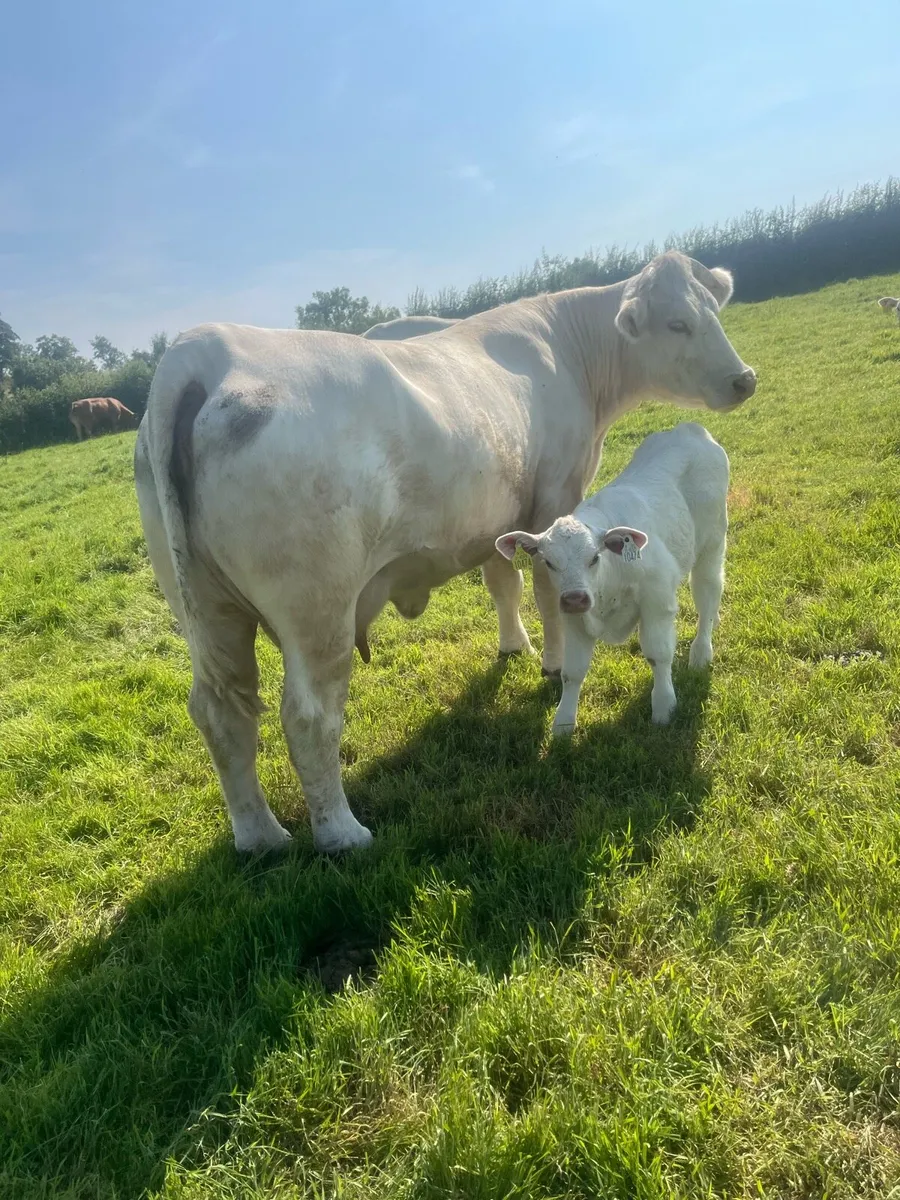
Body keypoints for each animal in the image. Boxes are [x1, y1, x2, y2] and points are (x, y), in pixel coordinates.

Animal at [134, 250, 756, 855]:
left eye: (714, 310)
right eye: (677, 323)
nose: (744, 379)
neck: (565, 348)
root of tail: (203, 349)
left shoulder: (495, 519)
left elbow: (504, 582)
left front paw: (514, 646)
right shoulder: (555, 495)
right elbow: (546, 591)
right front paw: (554, 665)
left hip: (207, 611)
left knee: (220, 712)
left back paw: (260, 837)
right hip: (315, 607)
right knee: (308, 716)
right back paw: (342, 833)